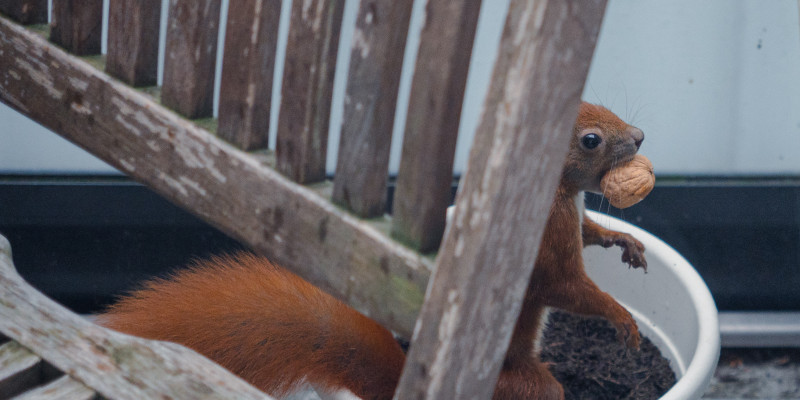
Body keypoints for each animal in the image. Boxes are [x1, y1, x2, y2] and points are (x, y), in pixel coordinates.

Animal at [98, 103, 648, 400]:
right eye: (591, 139)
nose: (640, 135)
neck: (553, 193)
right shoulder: (546, 243)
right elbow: (567, 287)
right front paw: (622, 317)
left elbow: (592, 233)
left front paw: (626, 242)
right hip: (521, 387)